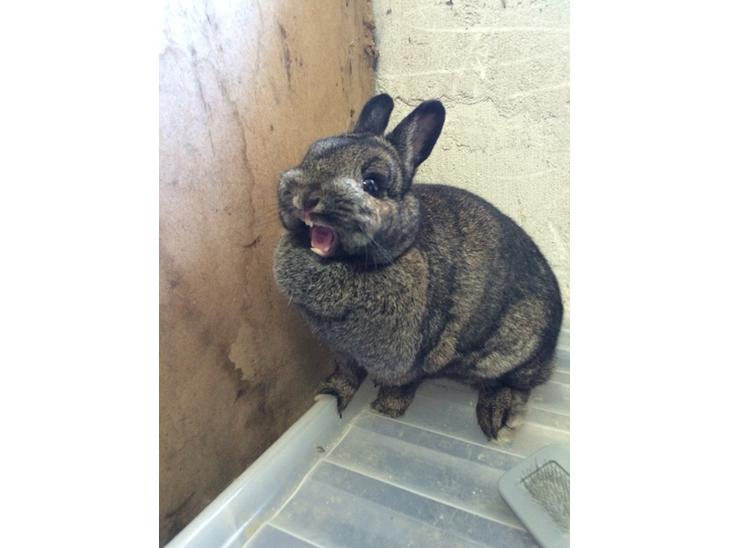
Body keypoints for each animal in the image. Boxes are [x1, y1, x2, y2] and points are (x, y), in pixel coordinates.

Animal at [273, 94, 563, 440]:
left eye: (371, 184)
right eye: (309, 156)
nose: (305, 196)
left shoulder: (410, 359)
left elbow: (403, 385)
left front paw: (386, 409)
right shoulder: (342, 352)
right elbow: (347, 374)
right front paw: (330, 393)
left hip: (509, 351)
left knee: (517, 380)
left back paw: (497, 417)